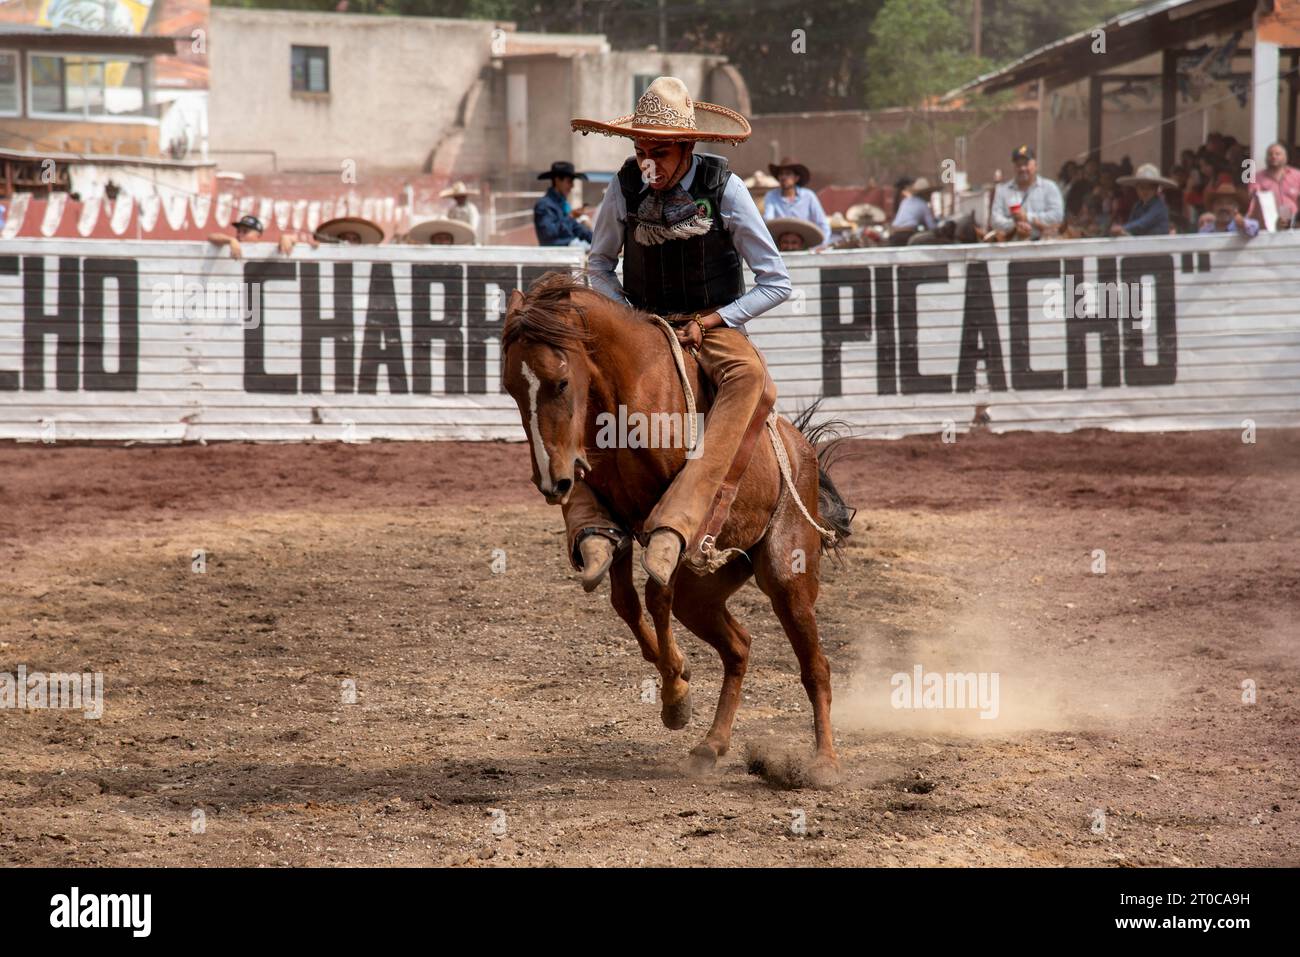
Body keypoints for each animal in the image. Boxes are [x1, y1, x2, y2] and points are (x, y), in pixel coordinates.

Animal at [499, 269, 852, 785]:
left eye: (561, 382)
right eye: (509, 387)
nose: (554, 481)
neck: (630, 395)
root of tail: (800, 448)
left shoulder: (663, 522)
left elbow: (654, 592)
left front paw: (675, 697)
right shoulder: (619, 516)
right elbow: (625, 601)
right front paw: (678, 683)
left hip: (787, 574)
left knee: (816, 666)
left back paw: (824, 761)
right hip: (703, 592)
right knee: (739, 647)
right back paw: (711, 745)